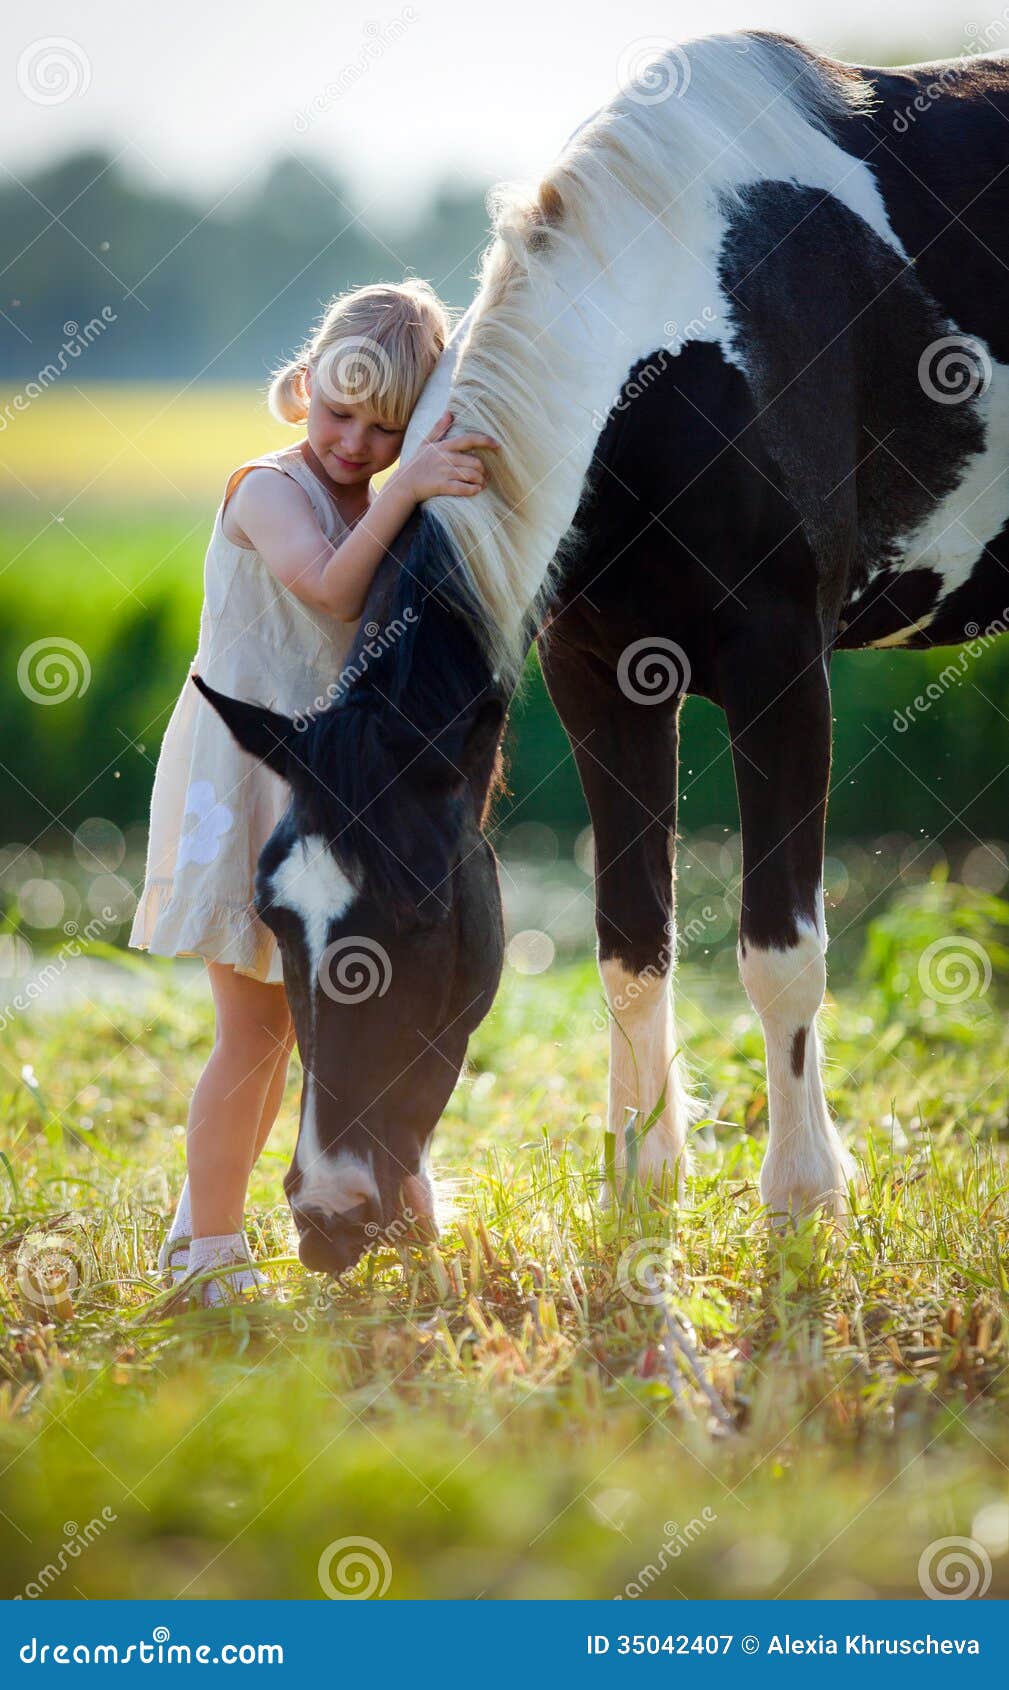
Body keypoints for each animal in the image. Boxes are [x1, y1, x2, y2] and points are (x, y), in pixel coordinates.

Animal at [194, 32, 1007, 1270]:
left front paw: (802, 1198)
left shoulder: (781, 672)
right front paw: (641, 1185)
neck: (695, 335)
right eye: (276, 914)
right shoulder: (602, 679)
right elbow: (631, 944)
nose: (328, 1216)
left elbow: (780, 949)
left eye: (419, 911)